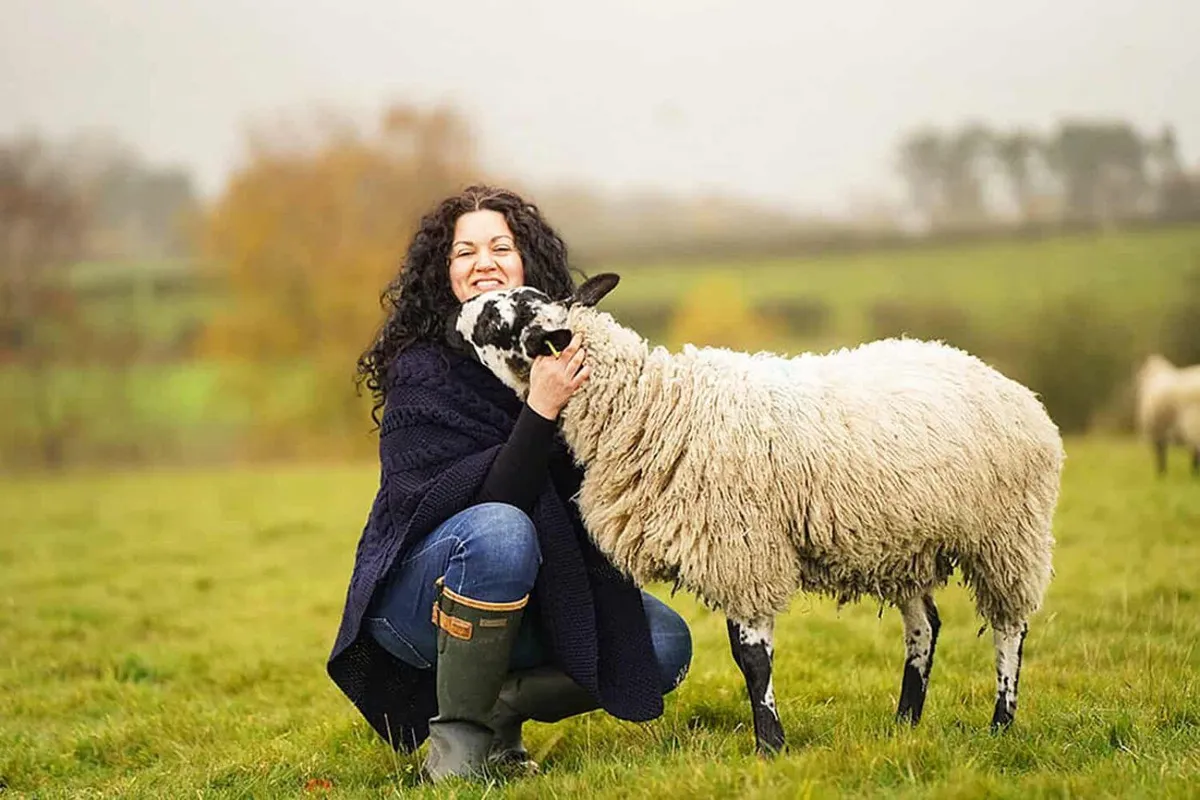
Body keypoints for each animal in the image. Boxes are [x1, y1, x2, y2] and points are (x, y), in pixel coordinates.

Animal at [451, 273, 1065, 755]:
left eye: (503, 319)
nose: (461, 309)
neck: (650, 405)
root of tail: (1011, 386)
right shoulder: (730, 550)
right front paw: (770, 739)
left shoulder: (742, 549)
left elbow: (751, 659)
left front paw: (770, 745)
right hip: (904, 541)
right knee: (924, 626)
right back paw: (905, 722)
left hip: (1008, 534)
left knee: (1010, 628)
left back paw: (1000, 723)